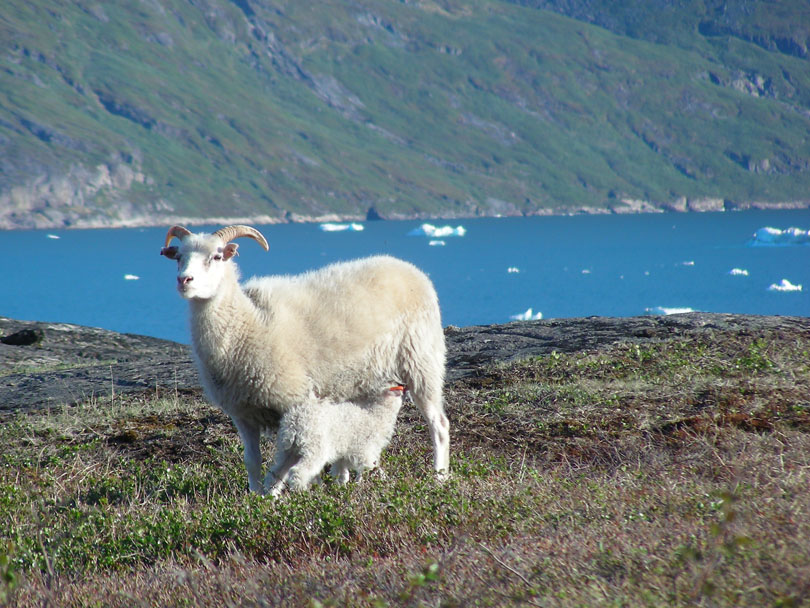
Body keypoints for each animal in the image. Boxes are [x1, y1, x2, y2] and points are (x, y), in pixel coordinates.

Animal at [268, 382, 408, 496]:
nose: (404, 386)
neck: (375, 415)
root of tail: (295, 421)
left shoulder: (342, 456)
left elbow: (342, 475)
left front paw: (341, 489)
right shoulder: (364, 451)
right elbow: (372, 468)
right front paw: (384, 482)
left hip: (288, 449)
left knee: (275, 473)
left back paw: (271, 497)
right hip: (314, 448)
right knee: (298, 471)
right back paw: (303, 493)